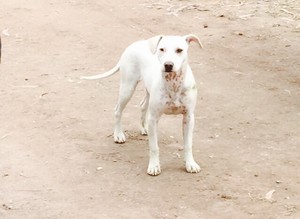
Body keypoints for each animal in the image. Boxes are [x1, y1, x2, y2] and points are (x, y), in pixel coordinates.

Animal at [82, 34, 203, 176]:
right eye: (162, 49)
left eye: (179, 50)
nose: (168, 65)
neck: (173, 83)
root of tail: (134, 44)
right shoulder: (154, 118)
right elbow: (154, 146)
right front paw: (154, 166)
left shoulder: (188, 118)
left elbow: (188, 144)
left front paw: (190, 164)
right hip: (127, 88)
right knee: (118, 110)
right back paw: (118, 134)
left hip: (147, 91)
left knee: (143, 105)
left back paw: (144, 127)